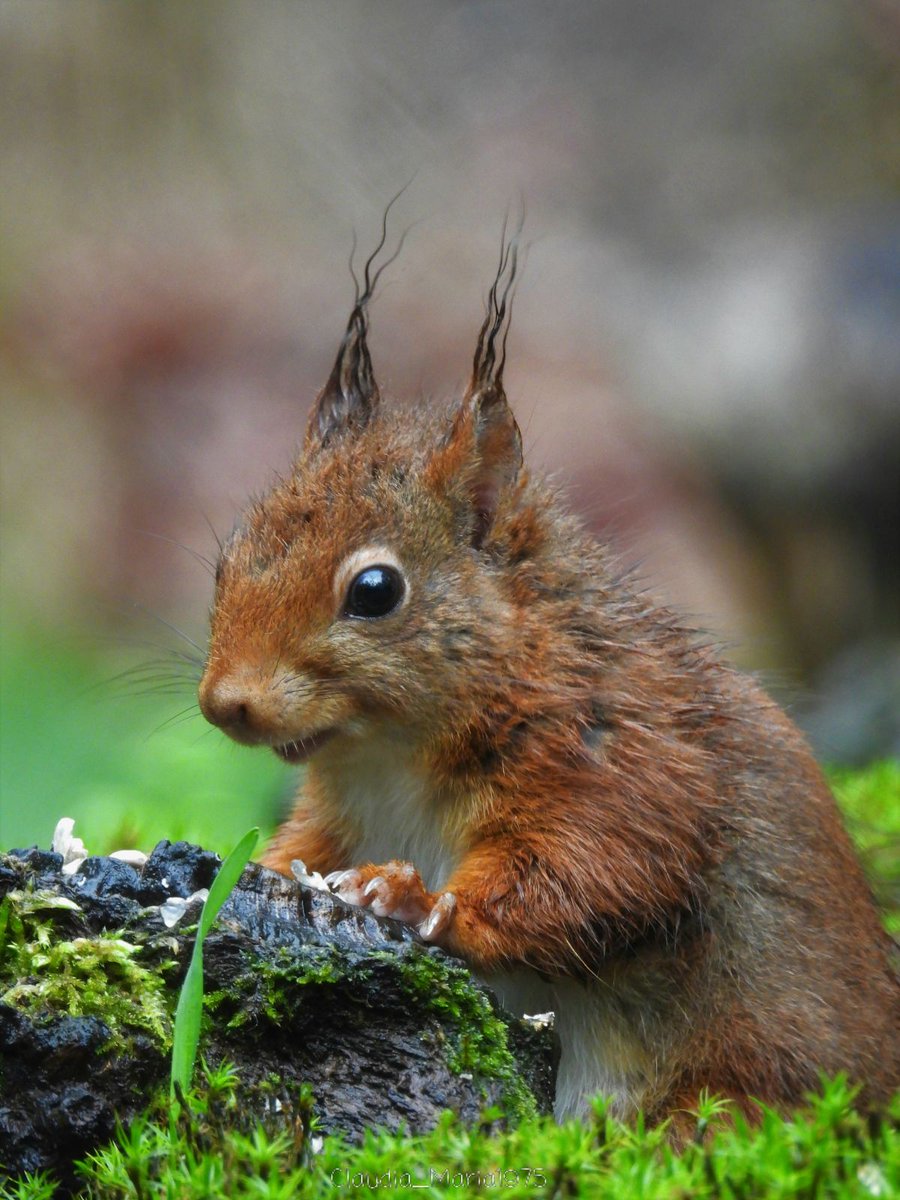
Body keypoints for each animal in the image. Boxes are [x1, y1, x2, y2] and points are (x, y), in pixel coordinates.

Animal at [199, 231, 900, 1123]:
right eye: (230, 558)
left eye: (375, 590)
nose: (226, 704)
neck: (389, 755)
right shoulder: (342, 808)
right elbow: (307, 845)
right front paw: (250, 865)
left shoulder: (622, 765)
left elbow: (593, 872)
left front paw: (414, 898)